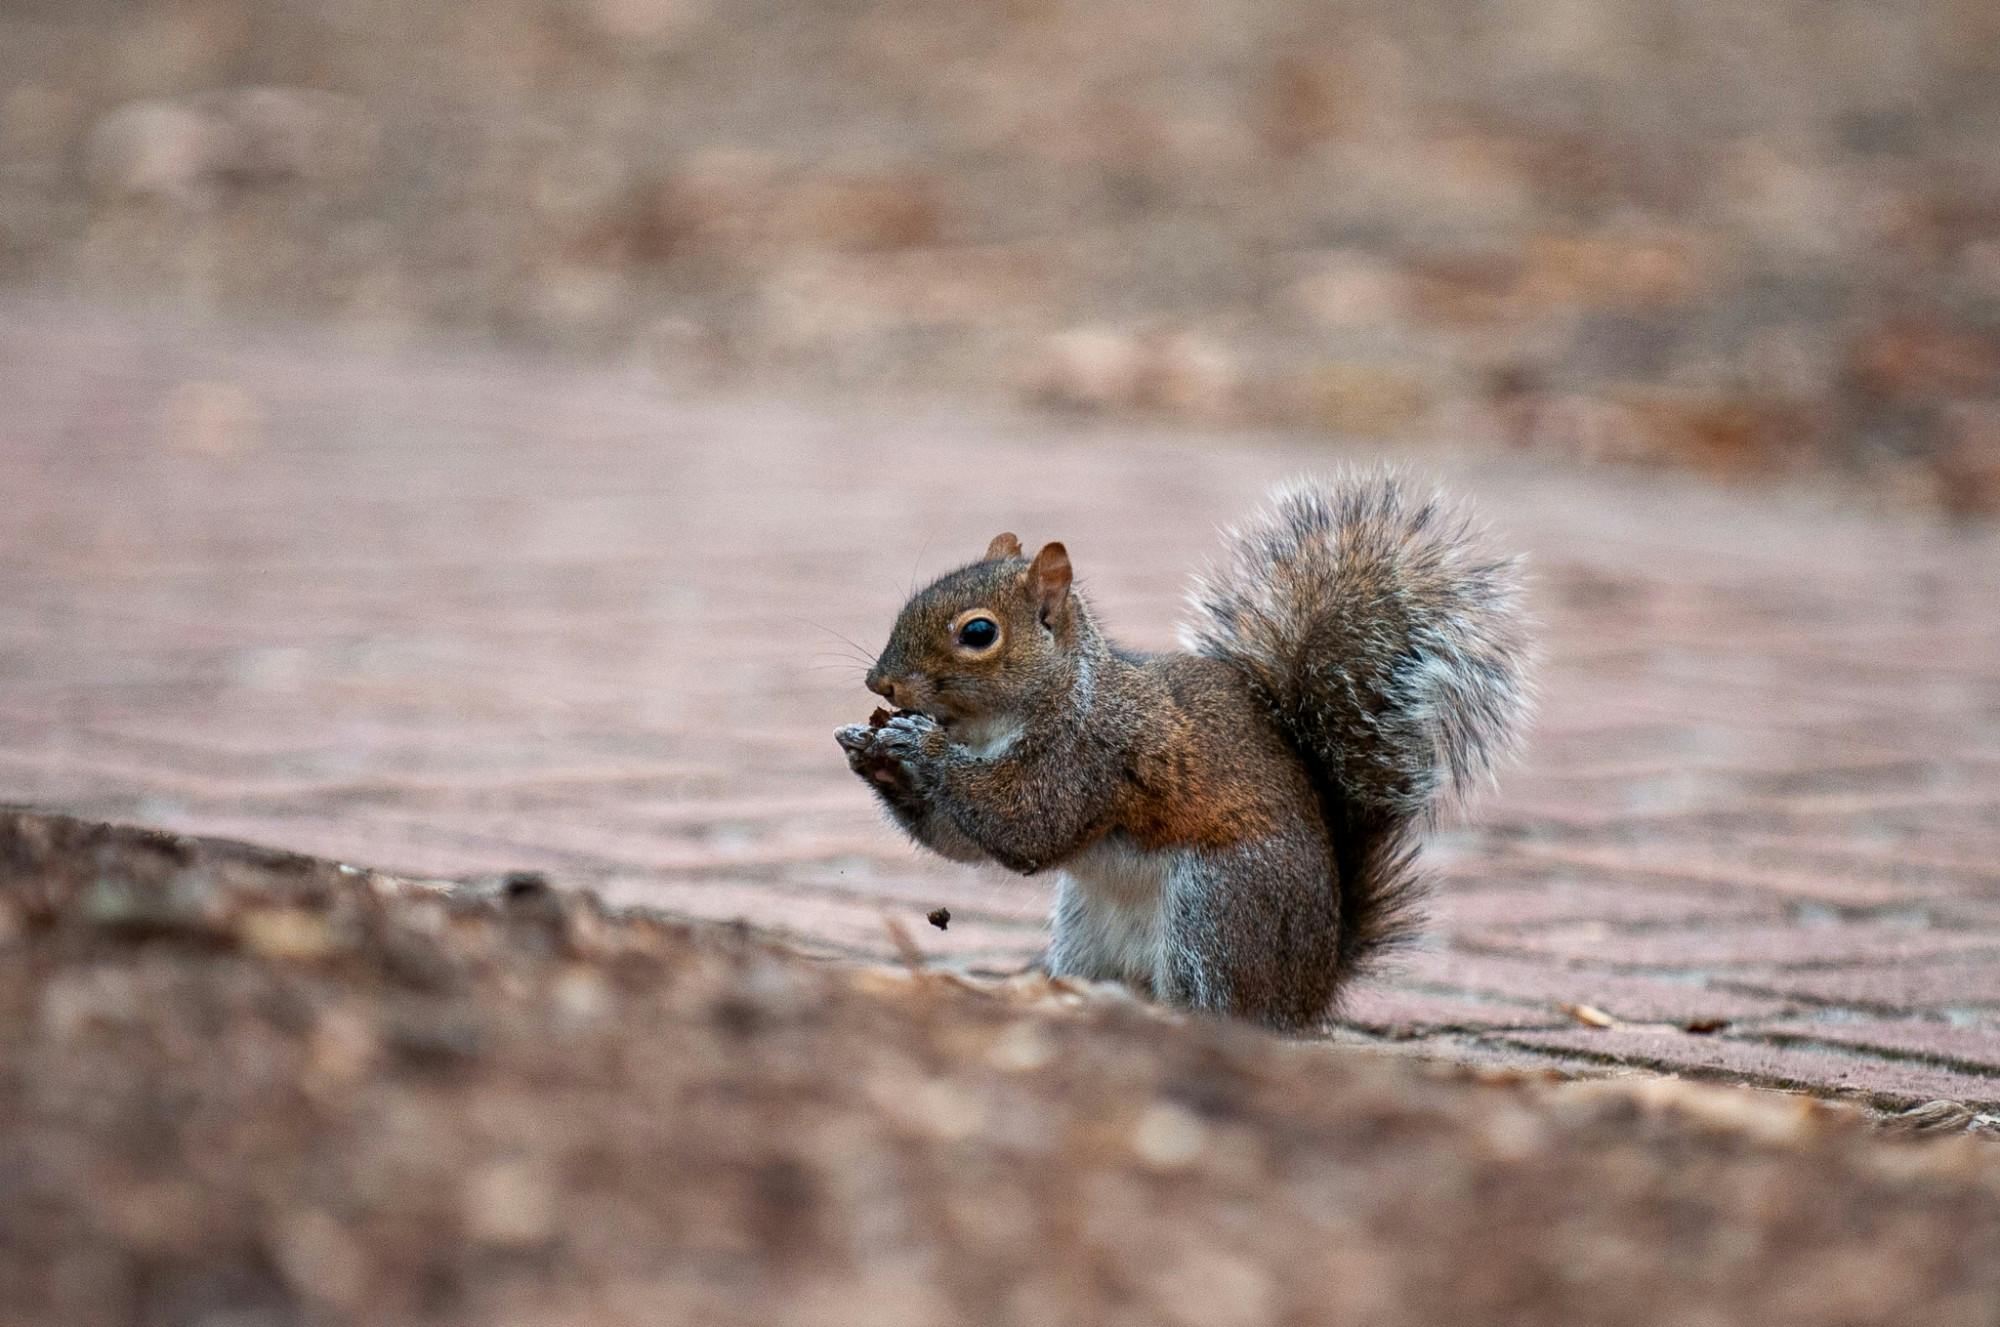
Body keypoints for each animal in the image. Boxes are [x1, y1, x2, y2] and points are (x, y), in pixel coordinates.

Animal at [834, 473, 1533, 1030]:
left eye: (979, 632)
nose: (880, 685)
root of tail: (1309, 994)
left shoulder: (1091, 756)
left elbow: (1026, 825)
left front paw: (915, 744)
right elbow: (961, 840)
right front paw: (870, 753)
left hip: (1219, 908)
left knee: (1224, 1009)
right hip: (1087, 927)